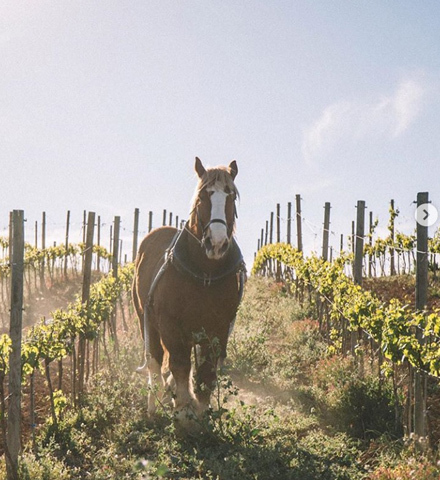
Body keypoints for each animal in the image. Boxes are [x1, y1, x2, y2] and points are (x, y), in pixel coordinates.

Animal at [132, 157, 246, 420]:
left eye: (231, 196)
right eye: (203, 196)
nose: (217, 242)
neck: (205, 274)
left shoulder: (218, 329)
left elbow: (206, 371)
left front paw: (200, 410)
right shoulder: (170, 325)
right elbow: (180, 364)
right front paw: (184, 409)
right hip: (146, 318)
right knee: (155, 360)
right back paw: (154, 404)